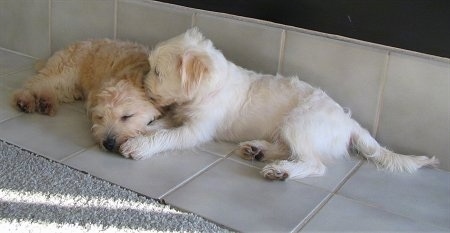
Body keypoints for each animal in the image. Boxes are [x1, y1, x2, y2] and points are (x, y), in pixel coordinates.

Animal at [11, 39, 163, 152]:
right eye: (101, 117)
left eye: (127, 116)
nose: (108, 143)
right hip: (64, 72)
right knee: (35, 83)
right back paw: (24, 100)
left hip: (69, 86)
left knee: (52, 89)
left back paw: (45, 102)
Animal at [121, 27, 438, 180]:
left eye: (157, 72)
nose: (143, 83)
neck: (208, 88)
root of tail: (349, 122)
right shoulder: (181, 115)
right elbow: (163, 123)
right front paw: (143, 127)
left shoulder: (196, 129)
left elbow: (168, 136)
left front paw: (139, 145)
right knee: (288, 148)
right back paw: (257, 150)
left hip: (300, 123)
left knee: (313, 163)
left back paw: (282, 170)